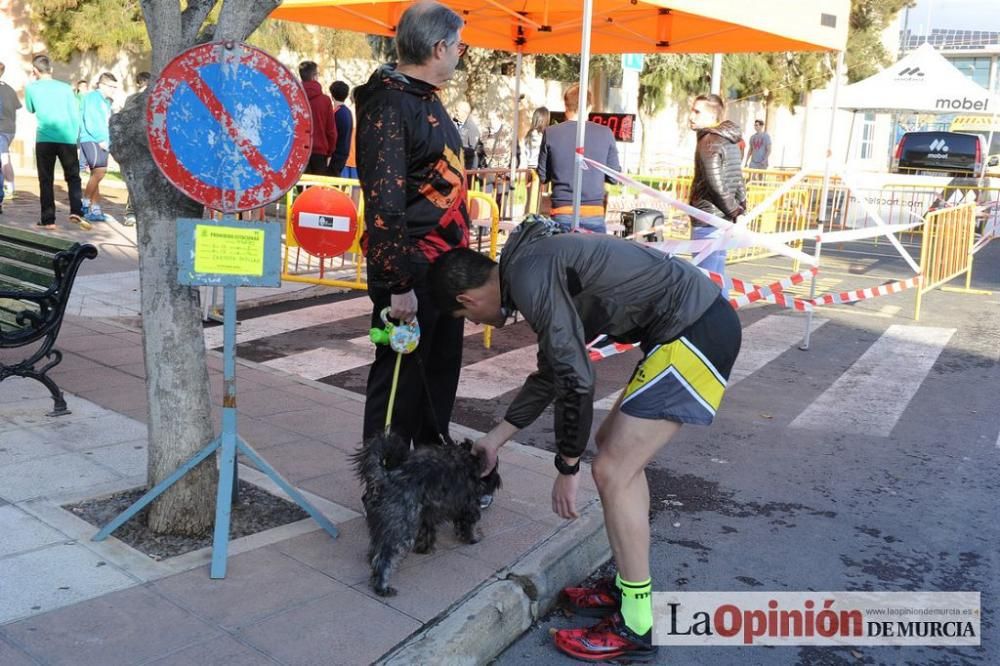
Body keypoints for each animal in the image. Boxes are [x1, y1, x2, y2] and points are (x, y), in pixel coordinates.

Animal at [356, 434, 504, 592]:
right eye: (495, 467)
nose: (497, 479)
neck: (468, 459)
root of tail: (385, 478)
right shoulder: (469, 507)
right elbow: (468, 526)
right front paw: (474, 538)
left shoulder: (427, 515)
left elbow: (427, 533)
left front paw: (424, 549)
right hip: (402, 529)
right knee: (385, 557)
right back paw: (382, 586)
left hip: (382, 525)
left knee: (376, 549)